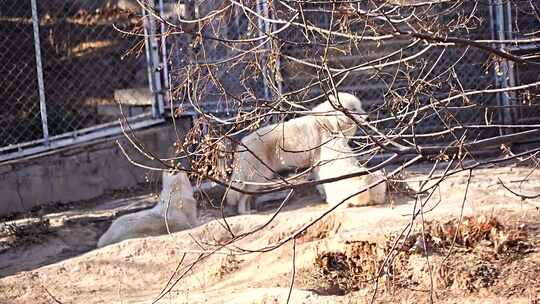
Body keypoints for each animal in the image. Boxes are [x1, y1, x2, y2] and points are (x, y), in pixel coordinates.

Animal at [226, 92, 370, 214]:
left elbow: (319, 180)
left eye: (360, 107)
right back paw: (245, 212)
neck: (329, 122)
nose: (368, 118)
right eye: (353, 109)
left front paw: (323, 195)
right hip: (259, 178)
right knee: (243, 196)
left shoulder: (315, 163)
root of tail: (242, 143)